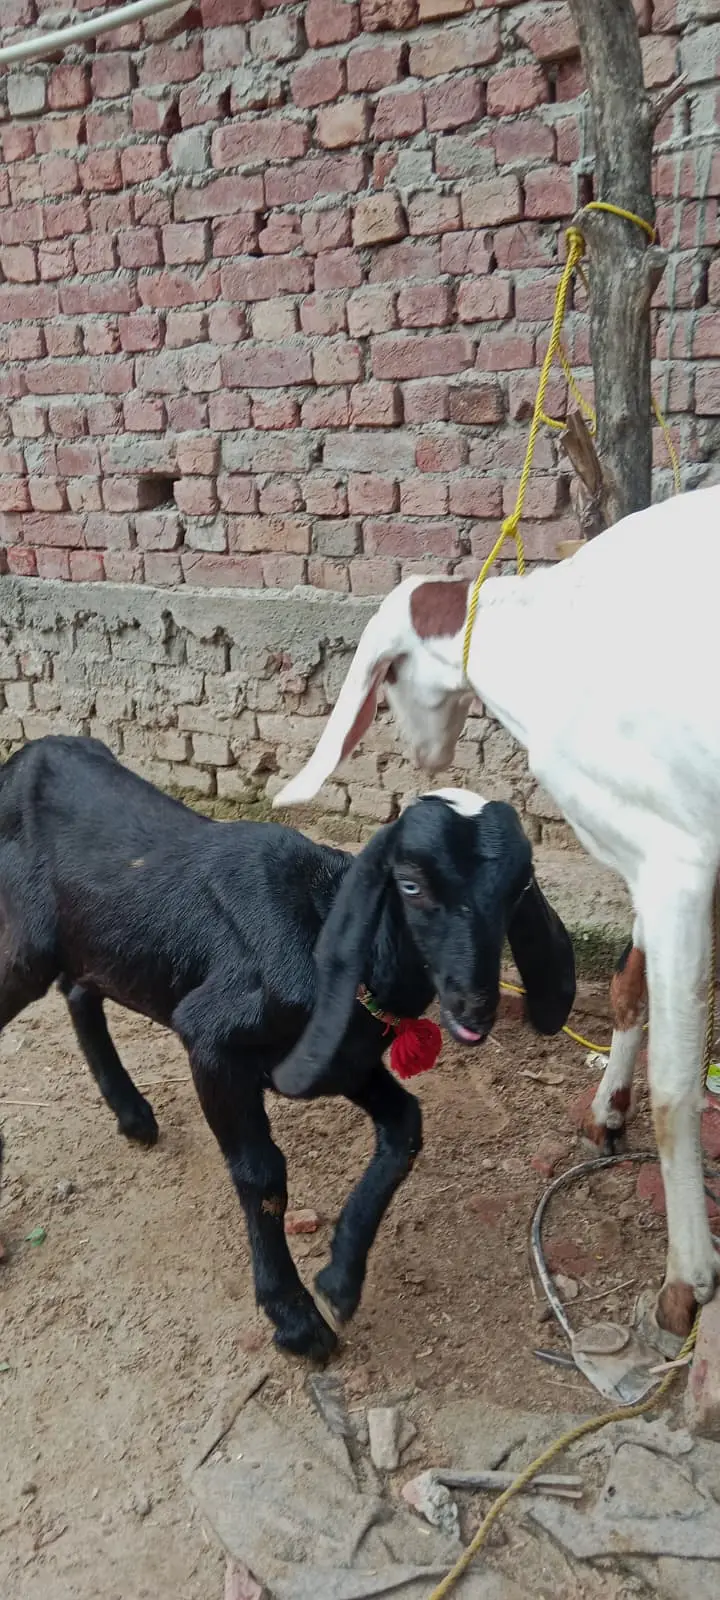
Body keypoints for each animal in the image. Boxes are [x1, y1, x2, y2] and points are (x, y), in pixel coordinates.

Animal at [0, 737, 574, 1361]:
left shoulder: (342, 1062)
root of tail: (34, 753)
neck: (323, 930)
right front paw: (294, 1317)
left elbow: (405, 1127)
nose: (474, 1008)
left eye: (518, 888)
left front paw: (340, 1281)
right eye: (410, 885)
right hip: (26, 947)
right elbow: (262, 1175)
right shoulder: (212, 1041)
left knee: (80, 989)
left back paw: (133, 1115)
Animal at [273, 482, 720, 1338]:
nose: (423, 759)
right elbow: (626, 988)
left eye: (386, 680)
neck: (546, 642)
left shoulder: (682, 863)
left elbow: (678, 1086)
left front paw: (687, 1279)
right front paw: (605, 1112)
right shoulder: (656, 856)